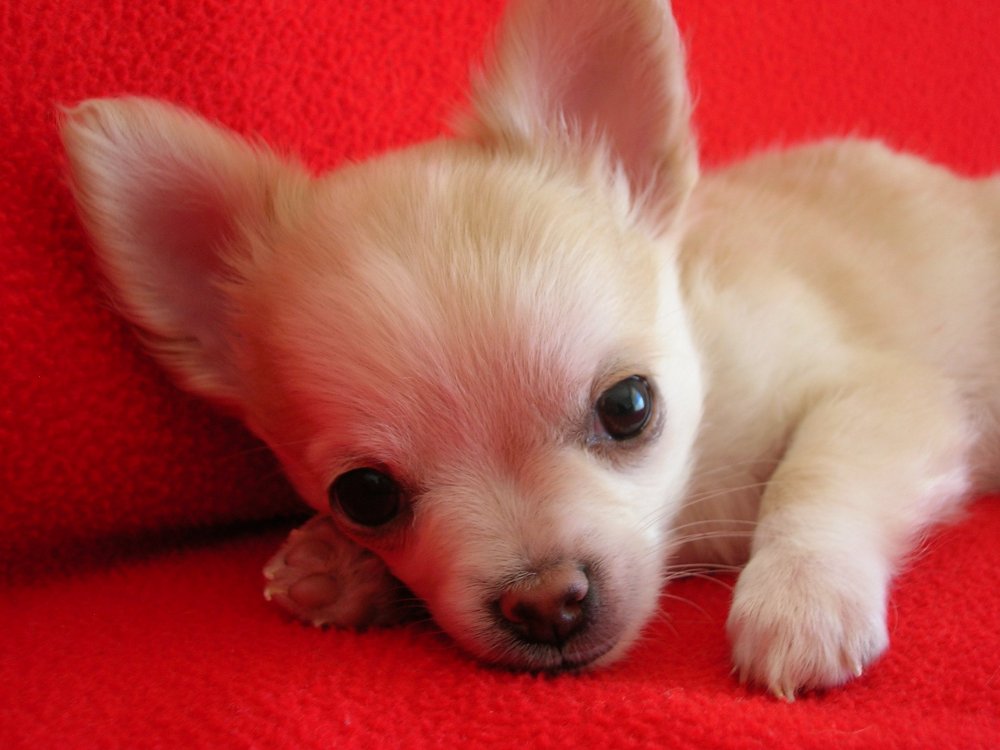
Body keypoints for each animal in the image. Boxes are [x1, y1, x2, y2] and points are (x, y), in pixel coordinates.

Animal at [59, 0, 1000, 700]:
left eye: (629, 408)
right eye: (364, 495)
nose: (547, 604)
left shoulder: (885, 395)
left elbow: (817, 473)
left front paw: (800, 596)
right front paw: (342, 569)